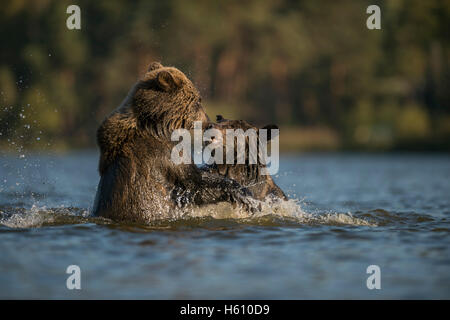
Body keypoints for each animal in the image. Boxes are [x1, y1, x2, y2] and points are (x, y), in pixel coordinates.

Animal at [92, 62, 255, 222]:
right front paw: (244, 194)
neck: (159, 127)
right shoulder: (165, 154)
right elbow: (193, 185)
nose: (208, 123)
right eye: (198, 100)